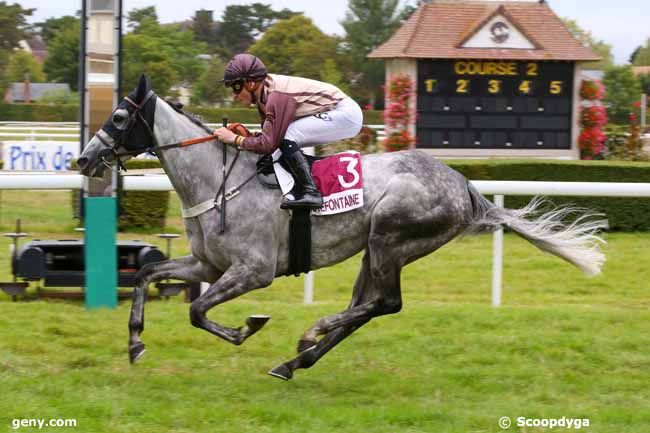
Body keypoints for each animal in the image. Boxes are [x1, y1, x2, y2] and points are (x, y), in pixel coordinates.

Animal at [78, 76, 604, 380]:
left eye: (120, 116)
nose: (83, 159)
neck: (217, 179)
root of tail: (465, 186)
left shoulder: (253, 271)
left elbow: (197, 310)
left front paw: (248, 326)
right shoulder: (207, 264)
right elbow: (150, 275)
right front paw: (136, 343)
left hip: (391, 237)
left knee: (385, 303)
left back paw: (311, 333)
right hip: (375, 248)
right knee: (364, 308)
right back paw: (296, 360)